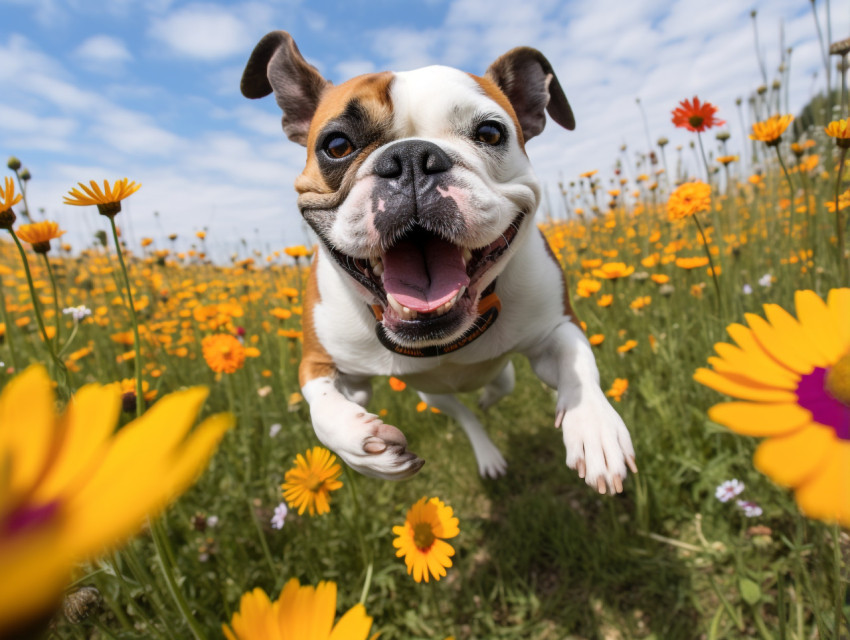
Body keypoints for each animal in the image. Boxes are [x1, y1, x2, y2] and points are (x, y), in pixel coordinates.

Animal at [242, 31, 632, 496]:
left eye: (490, 132)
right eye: (336, 145)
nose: (411, 158)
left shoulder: (556, 326)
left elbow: (578, 365)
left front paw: (594, 427)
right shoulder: (321, 363)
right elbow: (323, 407)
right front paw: (364, 445)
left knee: (500, 381)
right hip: (433, 396)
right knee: (464, 413)